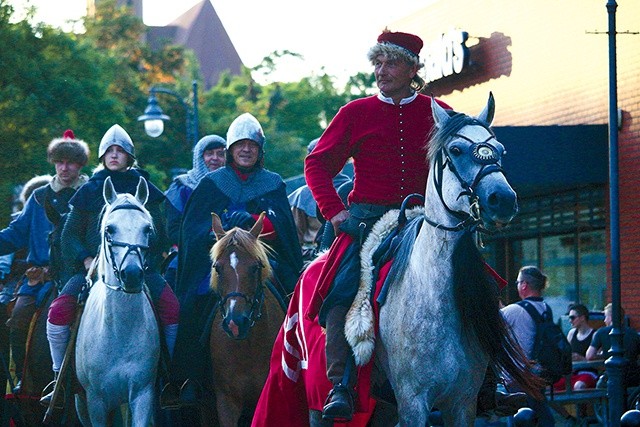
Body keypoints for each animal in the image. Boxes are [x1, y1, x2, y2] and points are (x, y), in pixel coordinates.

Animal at [75, 176, 160, 426]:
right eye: (109, 229)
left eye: (147, 229)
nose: (131, 274)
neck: (120, 332)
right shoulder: (95, 401)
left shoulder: (142, 394)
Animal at [348, 94, 544, 427]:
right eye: (455, 150)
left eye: (500, 150)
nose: (503, 200)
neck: (434, 296)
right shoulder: (413, 402)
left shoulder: (462, 402)